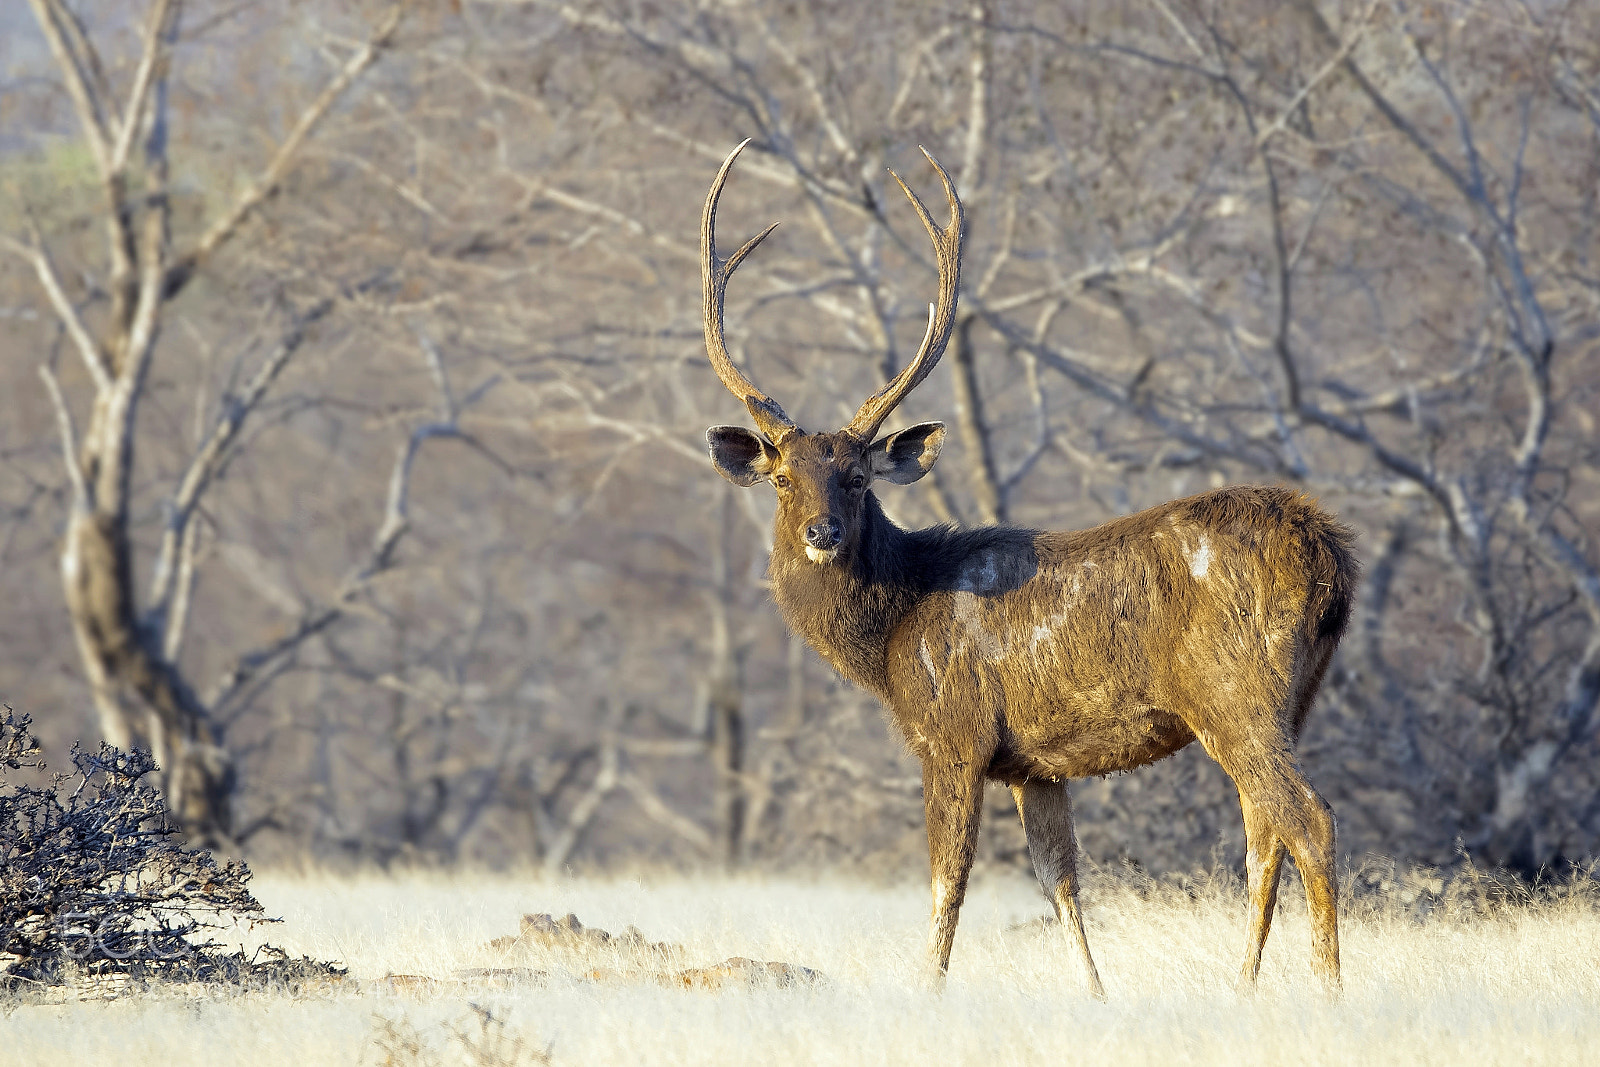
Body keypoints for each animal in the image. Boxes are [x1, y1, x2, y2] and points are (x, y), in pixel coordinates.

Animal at [699, 140, 1358, 997]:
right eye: (783, 477)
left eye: (857, 474)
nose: (821, 530)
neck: (891, 633)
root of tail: (1330, 554)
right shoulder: (1034, 764)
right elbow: (1062, 880)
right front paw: (1097, 992)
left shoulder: (953, 732)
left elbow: (948, 882)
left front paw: (929, 990)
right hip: (1291, 695)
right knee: (1264, 834)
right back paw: (1243, 985)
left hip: (1234, 685)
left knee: (1307, 819)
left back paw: (1326, 989)